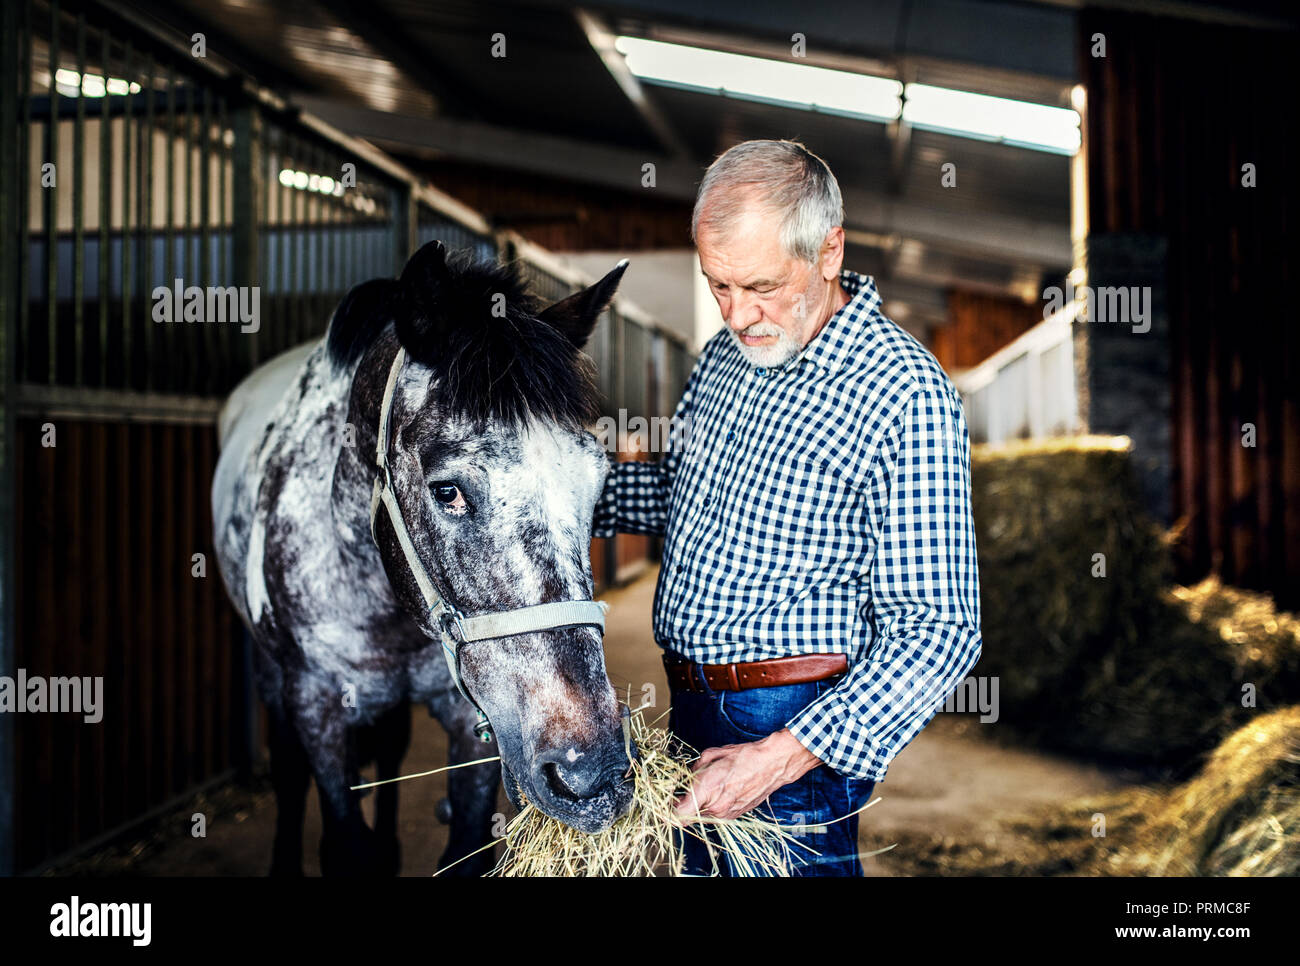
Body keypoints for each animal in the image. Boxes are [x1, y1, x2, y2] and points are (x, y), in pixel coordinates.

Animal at [211, 240, 634, 878]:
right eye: (447, 490)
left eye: (599, 481)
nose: (593, 774)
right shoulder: (315, 705)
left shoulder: (472, 718)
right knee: (287, 768)